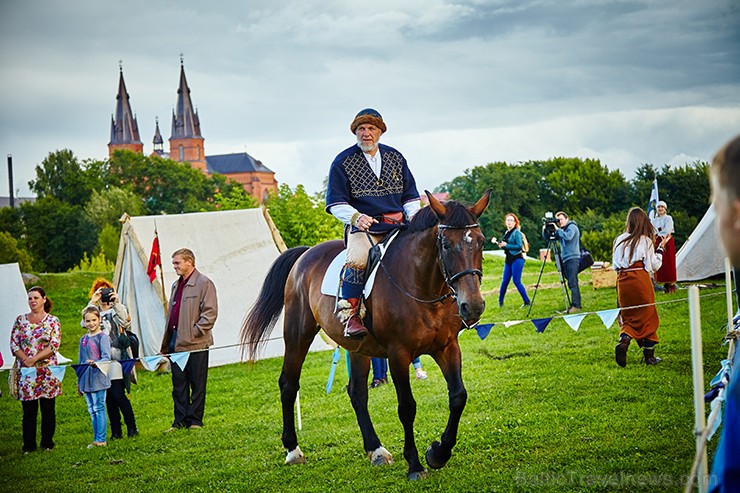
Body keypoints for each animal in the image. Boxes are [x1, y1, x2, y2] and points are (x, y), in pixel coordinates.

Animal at [240, 190, 488, 478]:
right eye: (446, 245)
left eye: (480, 242)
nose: (473, 306)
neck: (423, 287)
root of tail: (306, 254)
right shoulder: (398, 354)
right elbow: (407, 407)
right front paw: (415, 464)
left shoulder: (447, 347)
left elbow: (458, 396)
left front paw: (438, 453)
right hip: (298, 335)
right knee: (289, 384)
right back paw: (293, 450)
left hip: (358, 348)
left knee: (357, 393)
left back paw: (376, 449)